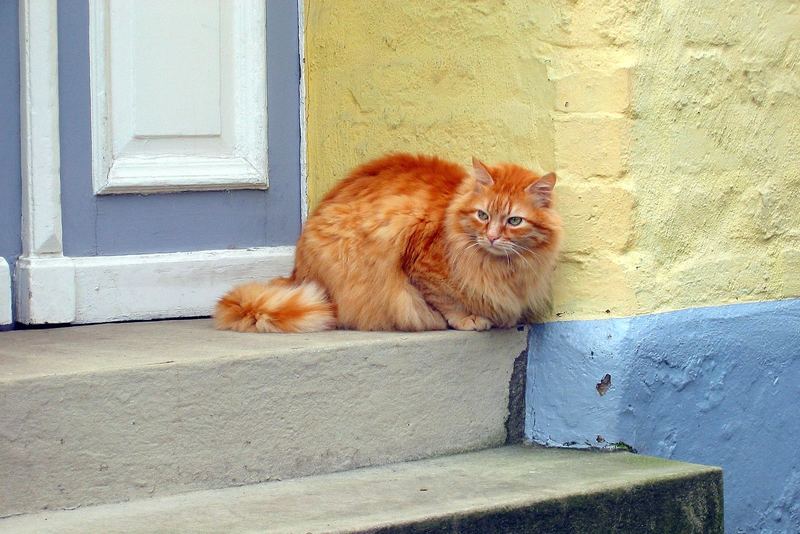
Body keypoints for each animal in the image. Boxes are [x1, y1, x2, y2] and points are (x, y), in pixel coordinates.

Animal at [216, 153, 560, 332]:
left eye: (514, 221)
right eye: (483, 215)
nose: (491, 237)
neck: (501, 268)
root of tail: (295, 273)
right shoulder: (421, 268)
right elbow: (445, 301)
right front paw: (468, 319)